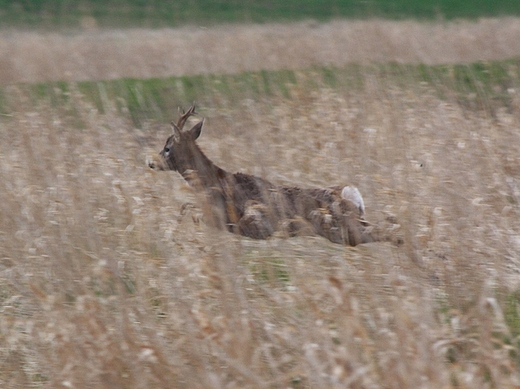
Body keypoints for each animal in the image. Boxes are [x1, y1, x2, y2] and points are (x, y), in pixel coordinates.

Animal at [148, 105, 380, 246]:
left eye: (167, 148)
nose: (151, 162)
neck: (214, 180)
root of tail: (352, 193)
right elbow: (186, 206)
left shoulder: (223, 216)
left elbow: (189, 209)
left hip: (339, 225)